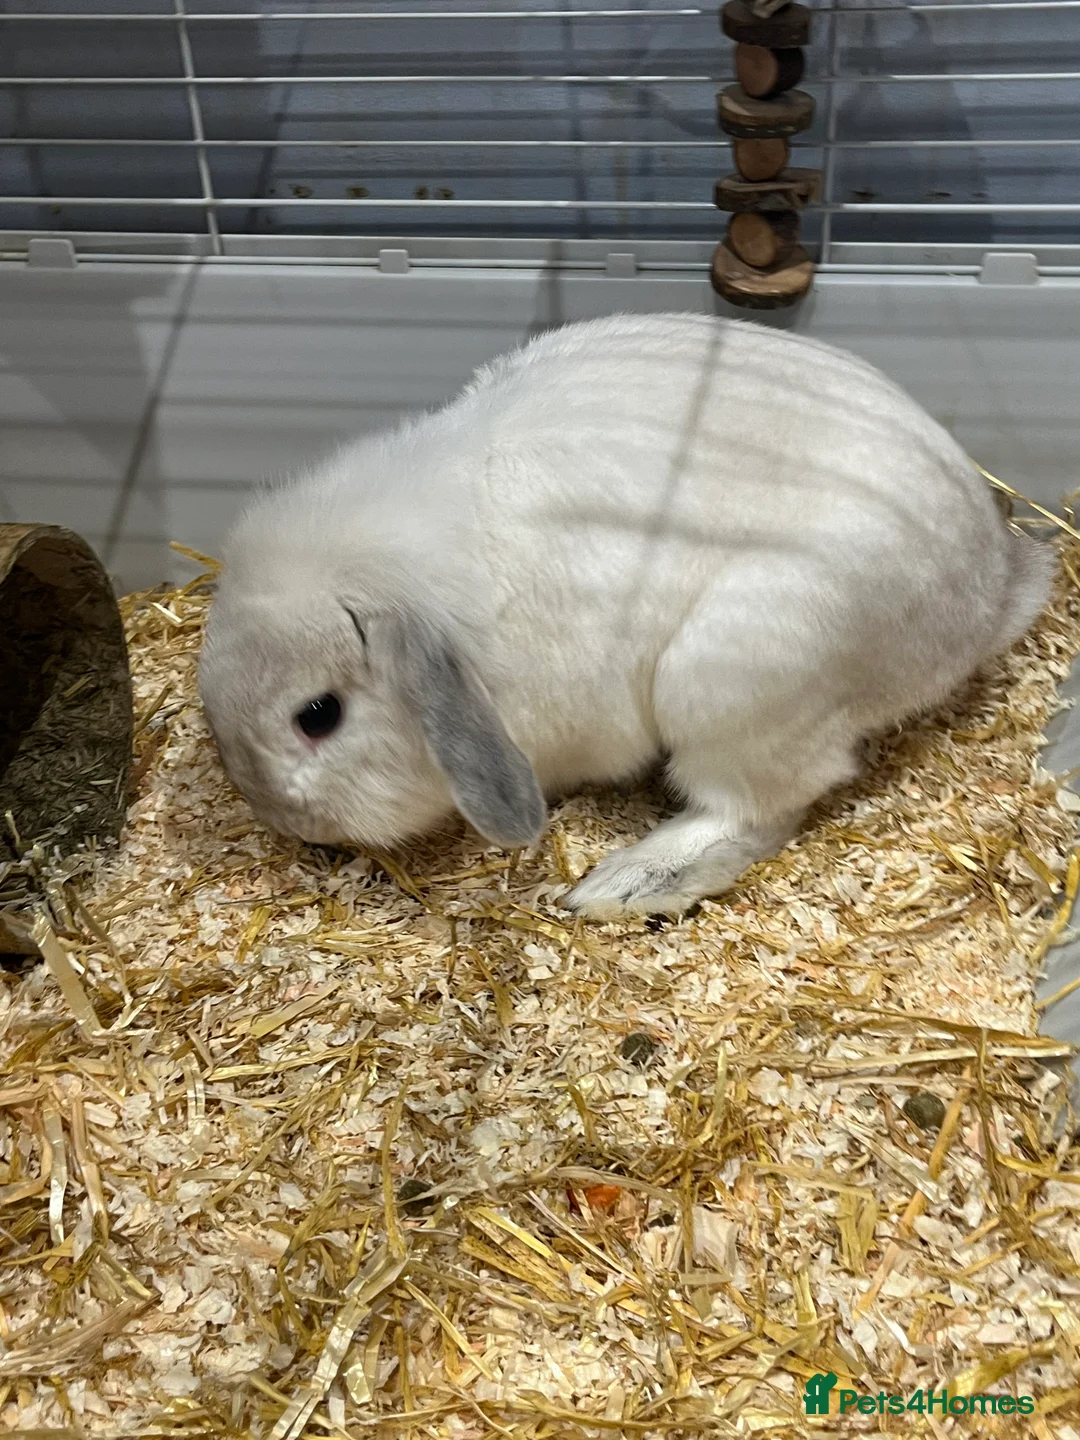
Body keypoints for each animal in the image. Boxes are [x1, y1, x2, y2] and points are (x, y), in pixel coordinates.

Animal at [198, 312, 1053, 920]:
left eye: (318, 715)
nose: (287, 822)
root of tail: (990, 588)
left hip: (731, 682)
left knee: (761, 807)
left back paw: (623, 886)